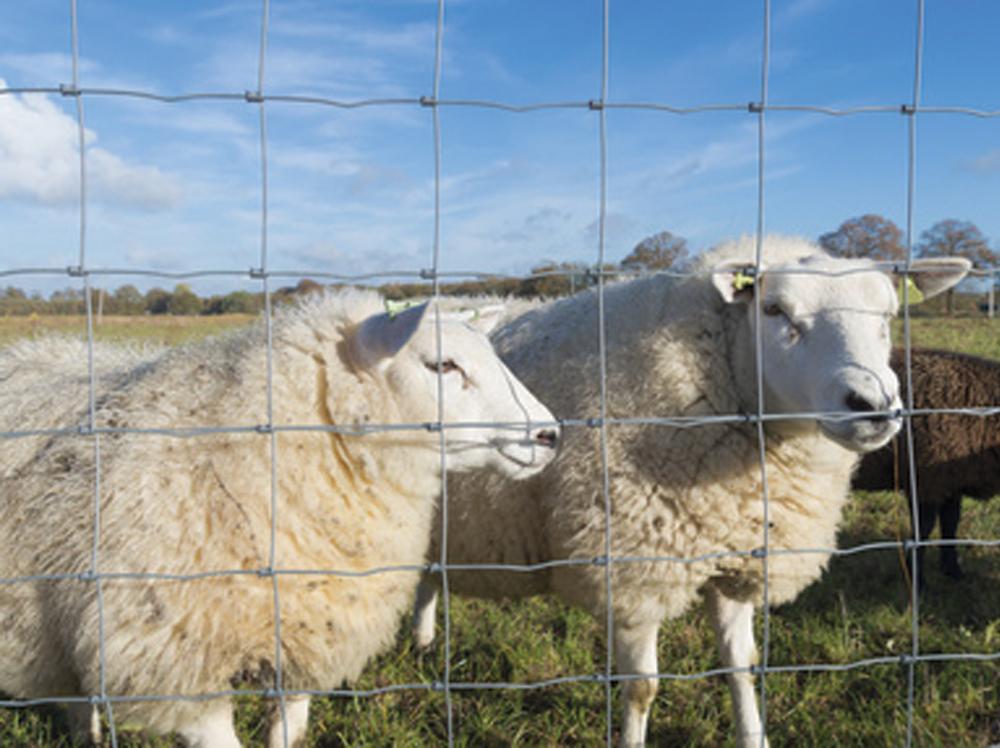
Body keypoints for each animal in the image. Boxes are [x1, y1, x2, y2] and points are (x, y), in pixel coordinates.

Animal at [410, 236, 970, 747]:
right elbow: (642, 689)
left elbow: (742, 665)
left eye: (888, 314)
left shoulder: (738, 555)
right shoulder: (633, 570)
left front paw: (753, 737)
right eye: (774, 309)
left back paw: (422, 640)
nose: (873, 405)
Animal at [853, 347, 1000, 586]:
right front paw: (917, 580)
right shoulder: (925, 482)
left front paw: (953, 571)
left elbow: (951, 523)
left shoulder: (950, 482)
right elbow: (922, 531)